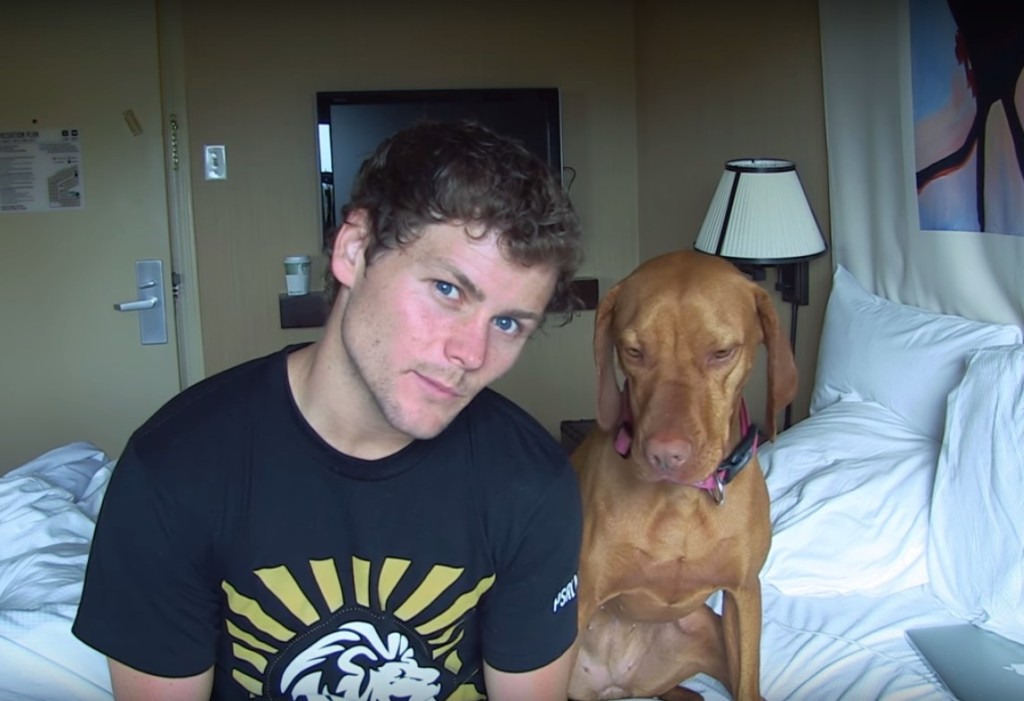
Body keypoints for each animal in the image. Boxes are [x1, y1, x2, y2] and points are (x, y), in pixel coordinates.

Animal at [568, 250, 798, 701]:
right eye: (633, 351)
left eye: (722, 351)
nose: (664, 455)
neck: (683, 502)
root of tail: (617, 683)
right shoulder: (576, 603)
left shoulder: (744, 595)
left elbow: (748, 684)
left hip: (706, 630)